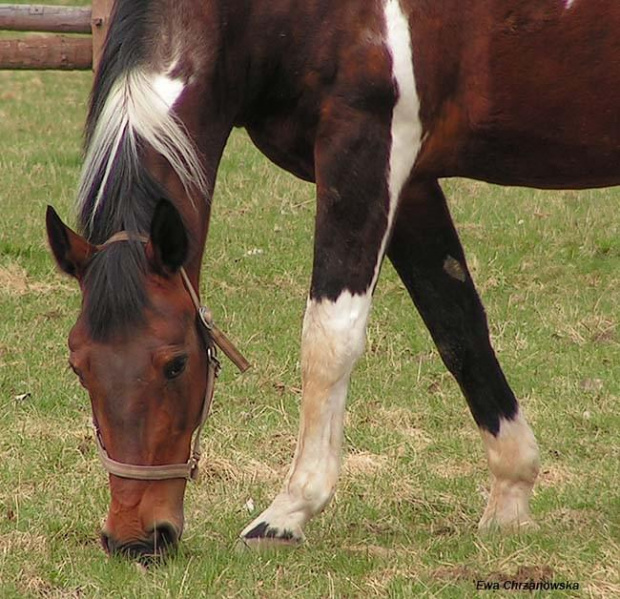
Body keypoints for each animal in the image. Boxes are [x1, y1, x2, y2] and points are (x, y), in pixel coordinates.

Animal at [46, 0, 616, 560]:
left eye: (176, 364)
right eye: (79, 366)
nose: (134, 537)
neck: (269, 16)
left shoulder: (362, 151)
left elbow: (329, 338)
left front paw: (288, 511)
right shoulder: (411, 183)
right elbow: (459, 330)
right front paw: (511, 494)